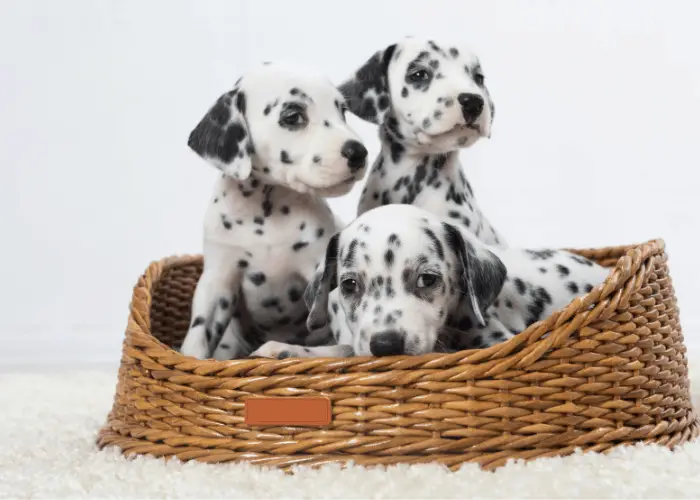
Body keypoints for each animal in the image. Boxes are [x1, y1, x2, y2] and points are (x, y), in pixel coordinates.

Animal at [178, 62, 370, 360]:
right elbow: (199, 334)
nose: (358, 152)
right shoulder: (218, 280)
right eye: (293, 116)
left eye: (342, 110)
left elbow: (342, 346)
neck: (266, 214)